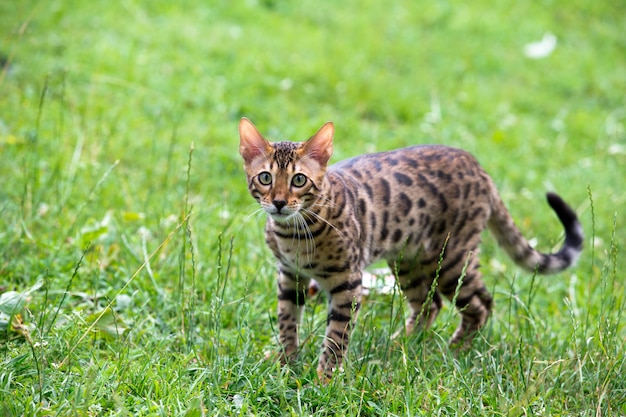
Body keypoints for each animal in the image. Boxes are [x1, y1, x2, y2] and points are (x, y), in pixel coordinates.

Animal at [236, 117, 584, 380]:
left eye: (299, 180)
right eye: (265, 178)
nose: (279, 202)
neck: (295, 233)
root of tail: (478, 166)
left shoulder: (348, 282)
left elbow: (336, 337)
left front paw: (324, 380)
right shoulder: (288, 275)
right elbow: (287, 322)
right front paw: (287, 365)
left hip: (453, 259)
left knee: (482, 304)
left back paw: (453, 351)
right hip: (407, 260)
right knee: (429, 305)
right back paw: (398, 347)